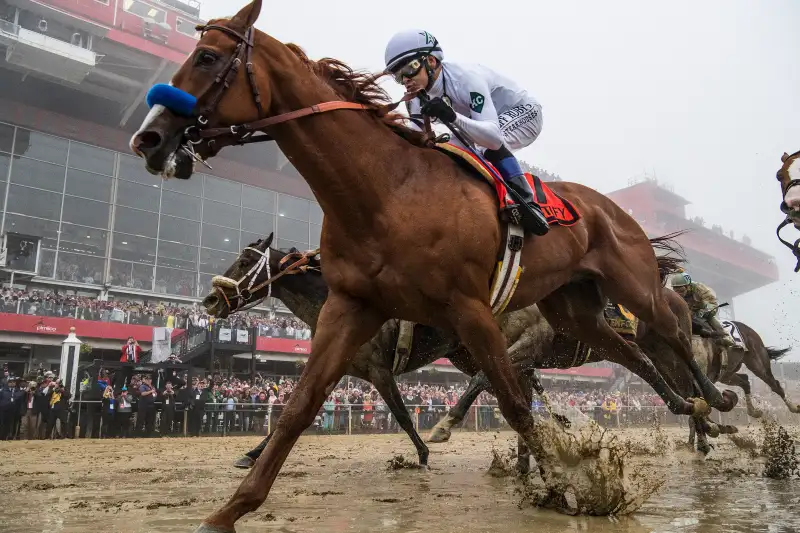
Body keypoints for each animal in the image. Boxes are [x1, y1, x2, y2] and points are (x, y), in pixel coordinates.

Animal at [128, 0, 736, 524]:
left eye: (207, 57)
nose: (148, 137)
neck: (386, 192)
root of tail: (614, 208)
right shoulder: (353, 308)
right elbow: (299, 407)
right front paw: (230, 511)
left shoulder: (470, 311)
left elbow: (513, 406)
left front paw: (564, 486)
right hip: (574, 309)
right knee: (630, 351)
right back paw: (688, 406)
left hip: (633, 285)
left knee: (674, 332)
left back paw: (716, 400)